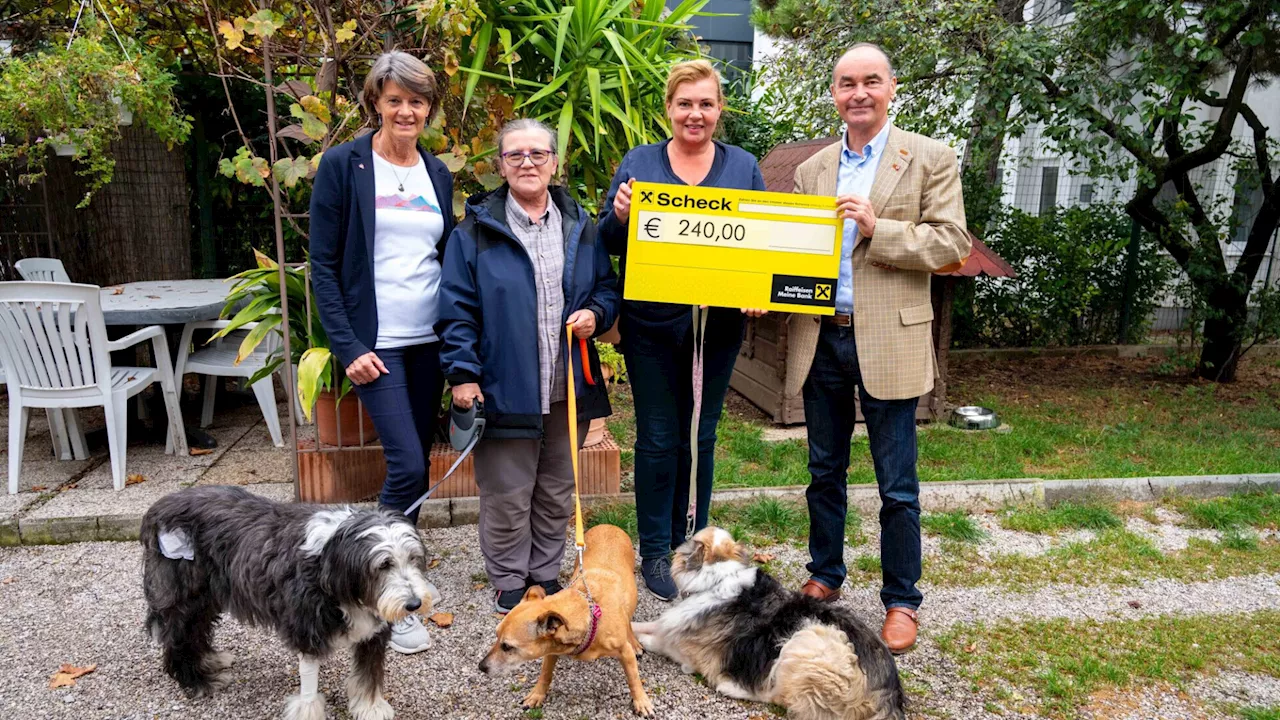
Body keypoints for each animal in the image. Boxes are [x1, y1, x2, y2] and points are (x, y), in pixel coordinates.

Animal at [138, 481, 432, 717]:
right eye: (384, 565)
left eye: (413, 559)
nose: (414, 605)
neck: (330, 559)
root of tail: (158, 508)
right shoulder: (307, 629)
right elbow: (309, 681)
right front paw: (309, 710)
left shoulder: (373, 632)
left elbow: (368, 674)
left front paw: (370, 708)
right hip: (184, 598)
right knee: (177, 639)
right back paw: (197, 681)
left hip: (206, 598)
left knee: (197, 631)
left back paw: (210, 661)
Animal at [478, 520, 655, 712]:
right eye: (496, 636)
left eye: (507, 646)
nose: (481, 667)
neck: (589, 616)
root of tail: (609, 525)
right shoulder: (550, 650)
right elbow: (545, 674)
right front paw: (537, 695)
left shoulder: (624, 653)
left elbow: (634, 678)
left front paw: (641, 701)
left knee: (628, 619)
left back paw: (634, 642)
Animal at [634, 520, 906, 717]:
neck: (718, 579)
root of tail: (889, 696)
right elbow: (647, 624)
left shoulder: (688, 651)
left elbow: (660, 641)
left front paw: (641, 643)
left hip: (805, 642)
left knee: (778, 697)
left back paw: (730, 686)